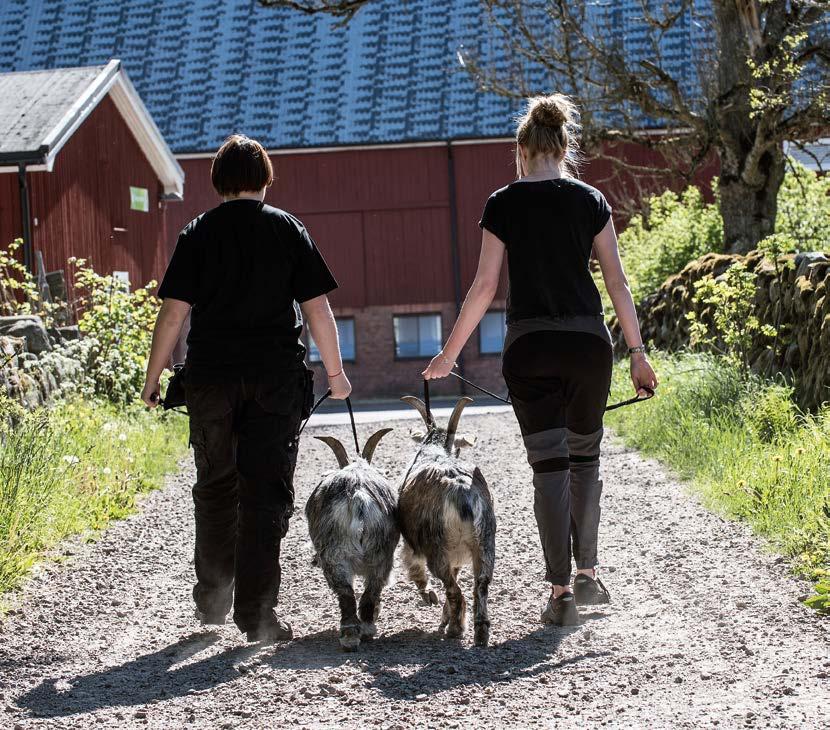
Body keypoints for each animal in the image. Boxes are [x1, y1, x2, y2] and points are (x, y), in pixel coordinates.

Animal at [308, 426, 402, 648]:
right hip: (381, 552)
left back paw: (353, 634)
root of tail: (358, 495)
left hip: (335, 554)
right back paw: (363, 630)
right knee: (371, 589)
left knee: (346, 592)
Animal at [400, 396, 498, 644]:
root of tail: (463, 493)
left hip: (436, 548)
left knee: (453, 589)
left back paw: (455, 630)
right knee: (481, 584)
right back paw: (480, 632)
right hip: (485, 541)